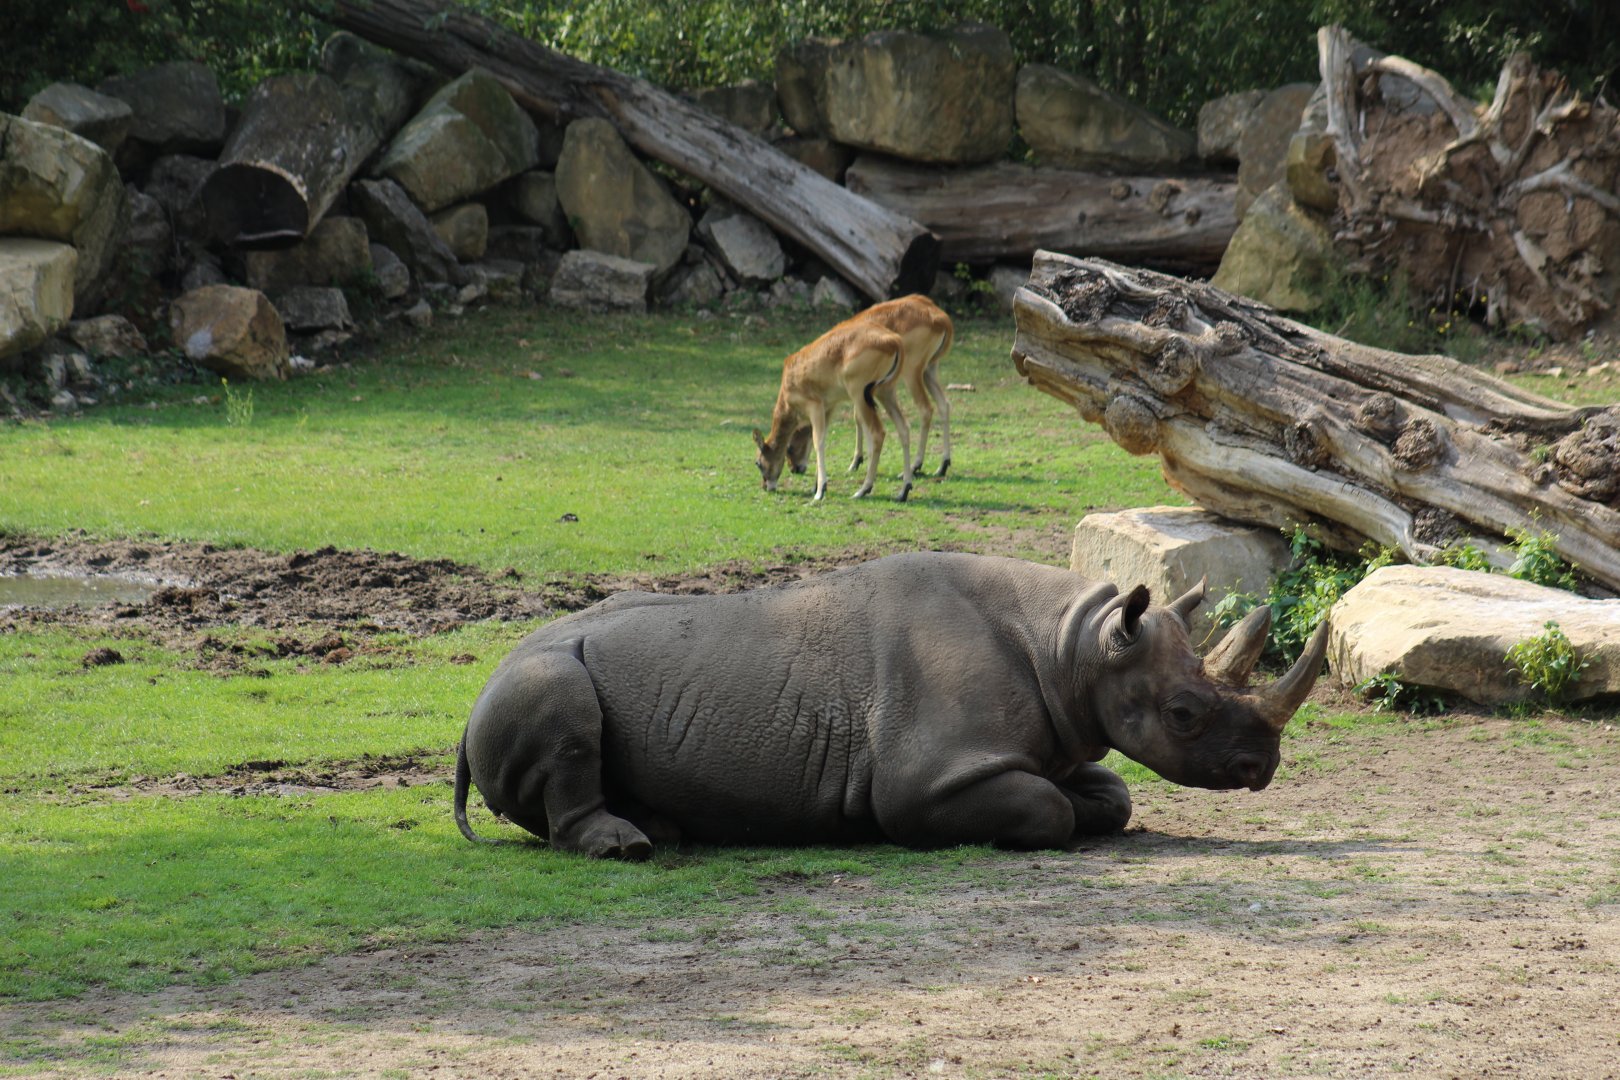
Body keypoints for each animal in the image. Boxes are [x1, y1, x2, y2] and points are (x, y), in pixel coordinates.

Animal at [455, 552, 1328, 856]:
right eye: (1182, 714)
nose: (1262, 766)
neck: (1074, 646)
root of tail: (470, 707)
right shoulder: (927, 778)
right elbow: (1045, 810)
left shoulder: (1050, 734)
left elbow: (1109, 792)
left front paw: (1096, 806)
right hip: (530, 675)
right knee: (558, 698)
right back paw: (626, 847)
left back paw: (663, 829)